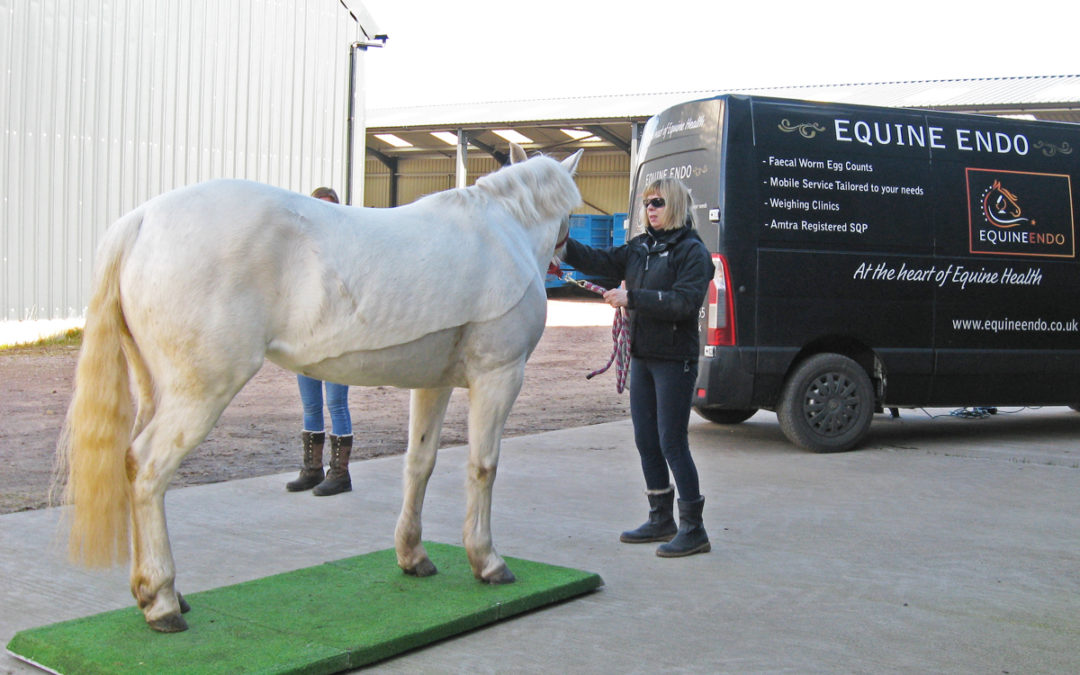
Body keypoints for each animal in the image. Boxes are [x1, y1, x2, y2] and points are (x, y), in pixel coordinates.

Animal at [55, 144, 582, 632]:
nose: (566, 257)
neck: (503, 232)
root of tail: (141, 220)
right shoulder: (499, 375)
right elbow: (482, 467)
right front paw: (487, 562)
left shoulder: (433, 385)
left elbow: (420, 464)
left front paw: (413, 556)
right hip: (201, 392)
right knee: (147, 468)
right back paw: (163, 602)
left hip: (154, 389)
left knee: (130, 464)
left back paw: (156, 593)